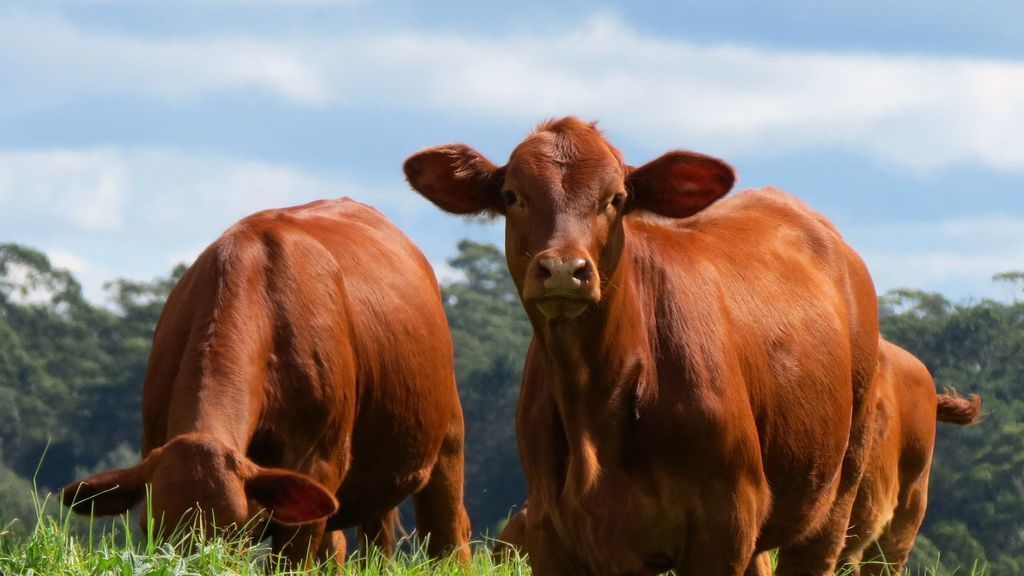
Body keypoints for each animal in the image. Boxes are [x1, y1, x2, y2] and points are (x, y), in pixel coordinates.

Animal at [59, 195, 468, 561]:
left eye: (235, 528)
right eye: (150, 528)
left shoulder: (319, 462)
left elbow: (294, 557)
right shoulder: (153, 439)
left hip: (448, 439)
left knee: (448, 535)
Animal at [403, 117, 876, 573]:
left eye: (615, 198)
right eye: (512, 195)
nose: (563, 269)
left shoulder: (725, 521)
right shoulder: (548, 529)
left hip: (838, 488)